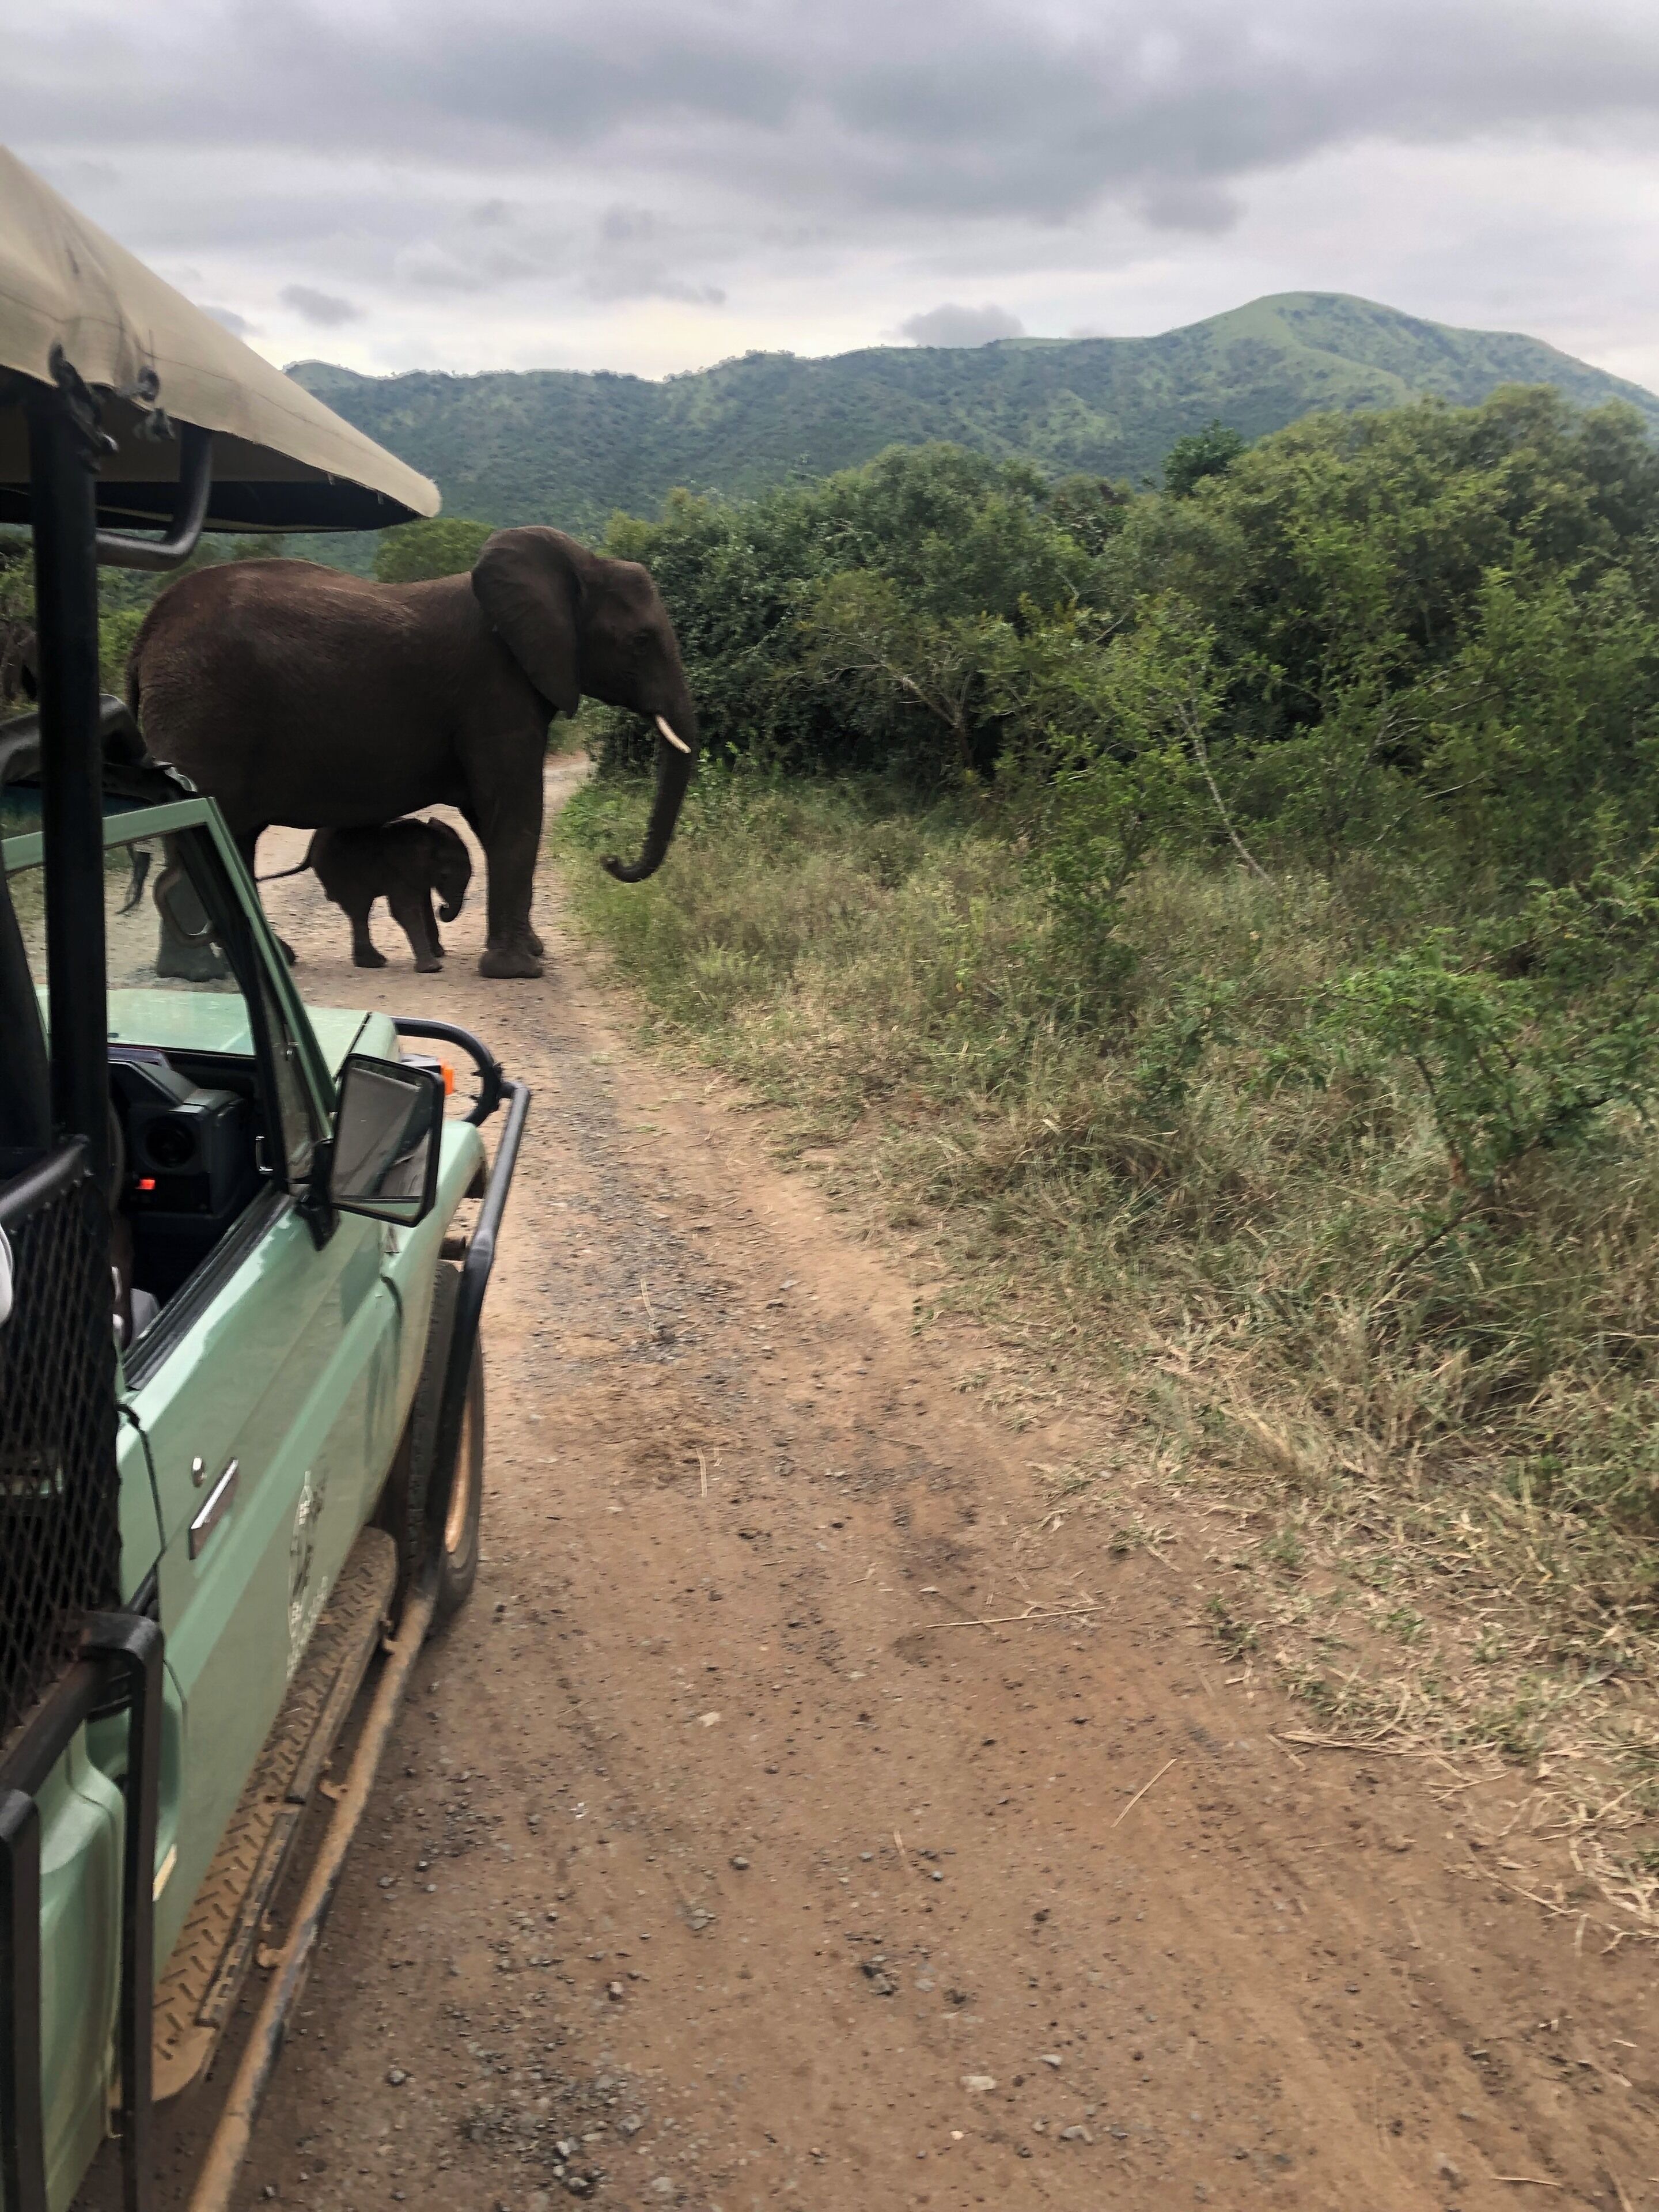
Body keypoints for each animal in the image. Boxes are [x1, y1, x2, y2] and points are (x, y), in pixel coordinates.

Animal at [264, 816, 473, 974]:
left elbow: (424, 904)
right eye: (444, 875)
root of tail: (309, 851)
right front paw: (432, 968)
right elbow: (404, 911)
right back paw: (374, 963)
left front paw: (439, 954)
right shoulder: (398, 871)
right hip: (340, 871)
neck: (428, 836)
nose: (443, 908)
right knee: (360, 909)